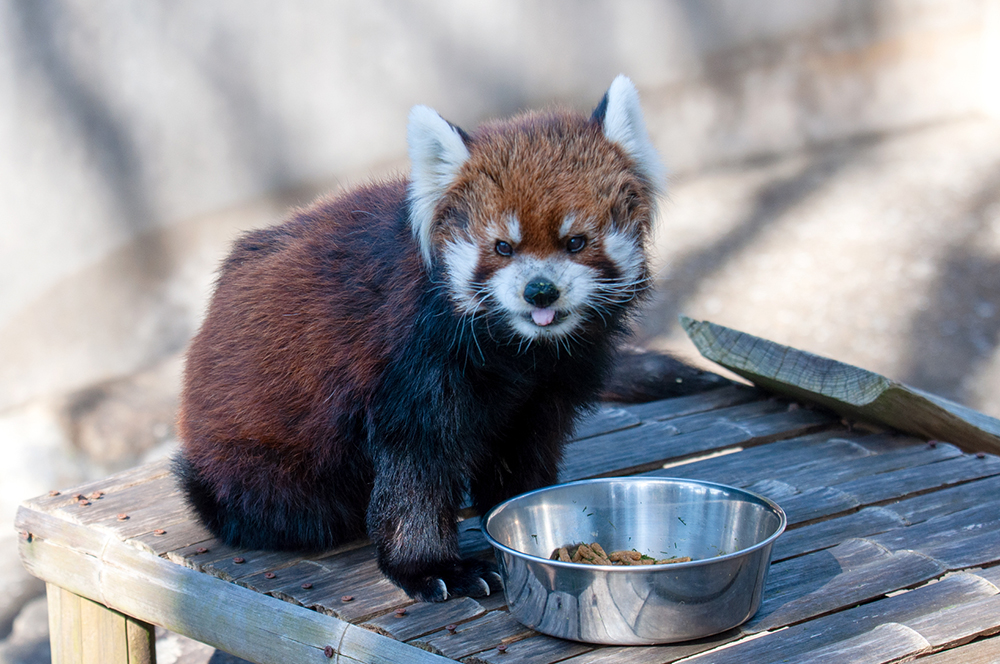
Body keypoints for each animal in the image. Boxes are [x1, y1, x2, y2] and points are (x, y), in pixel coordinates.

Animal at [174, 76, 704, 600]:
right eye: (503, 247)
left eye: (575, 242)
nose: (539, 290)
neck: (515, 350)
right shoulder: (412, 365)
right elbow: (416, 468)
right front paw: (433, 568)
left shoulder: (551, 384)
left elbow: (525, 449)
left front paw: (524, 511)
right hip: (268, 466)